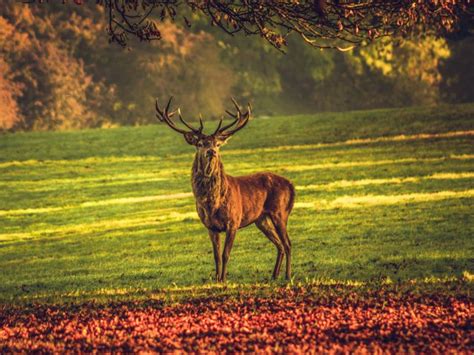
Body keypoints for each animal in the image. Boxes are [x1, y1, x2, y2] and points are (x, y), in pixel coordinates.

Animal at [156, 97, 296, 284]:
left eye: (217, 144)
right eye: (200, 143)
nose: (211, 152)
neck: (213, 204)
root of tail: (291, 185)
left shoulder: (233, 221)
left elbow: (225, 254)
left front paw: (224, 279)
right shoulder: (210, 226)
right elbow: (216, 255)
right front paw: (217, 279)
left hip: (280, 212)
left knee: (287, 243)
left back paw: (287, 275)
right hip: (261, 219)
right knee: (279, 244)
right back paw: (274, 275)